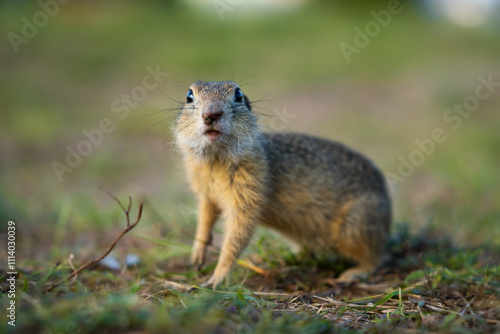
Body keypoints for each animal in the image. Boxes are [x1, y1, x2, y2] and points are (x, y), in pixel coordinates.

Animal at [174, 81, 392, 290]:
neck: (215, 161)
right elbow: (205, 218)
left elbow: (237, 235)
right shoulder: (206, 193)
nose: (211, 114)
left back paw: (352, 274)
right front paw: (196, 256)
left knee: (375, 258)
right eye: (189, 96)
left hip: (355, 225)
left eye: (238, 94)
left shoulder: (249, 192)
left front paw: (216, 278)